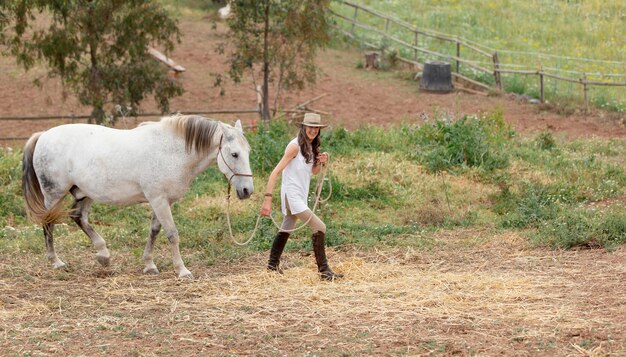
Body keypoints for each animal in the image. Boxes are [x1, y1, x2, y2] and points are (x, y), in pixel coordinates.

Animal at [22, 114, 251, 278]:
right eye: (234, 154)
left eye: (247, 151)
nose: (247, 190)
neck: (172, 152)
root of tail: (43, 135)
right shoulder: (158, 200)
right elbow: (172, 234)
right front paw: (182, 270)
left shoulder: (162, 201)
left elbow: (154, 231)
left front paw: (149, 265)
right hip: (54, 194)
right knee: (49, 223)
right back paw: (56, 261)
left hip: (84, 193)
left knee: (78, 217)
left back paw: (103, 255)